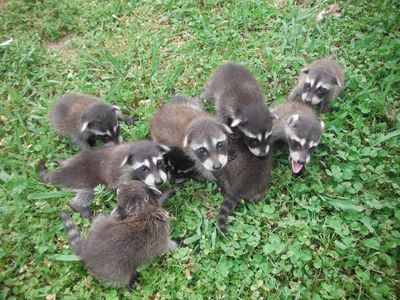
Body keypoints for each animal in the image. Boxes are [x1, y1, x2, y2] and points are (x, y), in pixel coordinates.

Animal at [36, 141, 170, 218]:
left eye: (159, 162)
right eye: (143, 168)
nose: (159, 182)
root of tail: (65, 171)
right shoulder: (121, 174)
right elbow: (126, 186)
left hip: (79, 156)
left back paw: (62, 162)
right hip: (83, 180)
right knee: (88, 192)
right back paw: (78, 205)